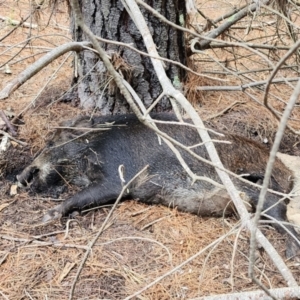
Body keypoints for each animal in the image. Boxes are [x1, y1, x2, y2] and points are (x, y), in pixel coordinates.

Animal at [18, 113, 300, 256]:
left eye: (51, 142)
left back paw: (290, 254)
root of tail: (289, 175)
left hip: (263, 189)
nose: (21, 177)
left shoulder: (119, 177)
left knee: (284, 219)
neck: (92, 146)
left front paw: (46, 217)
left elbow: (86, 195)